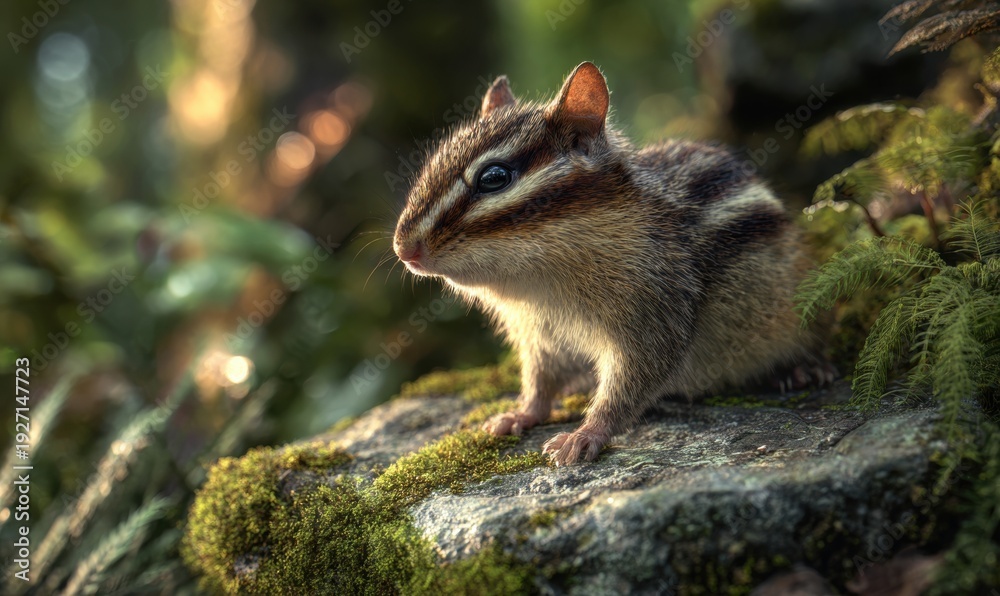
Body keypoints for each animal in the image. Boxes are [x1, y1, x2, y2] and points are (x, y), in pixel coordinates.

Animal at [393, 62, 834, 465]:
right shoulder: (537, 334)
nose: (404, 249)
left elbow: (633, 381)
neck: (540, 283)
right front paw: (520, 414)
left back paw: (801, 369)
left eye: (494, 177)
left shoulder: (655, 312)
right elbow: (538, 381)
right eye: (433, 161)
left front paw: (585, 434)